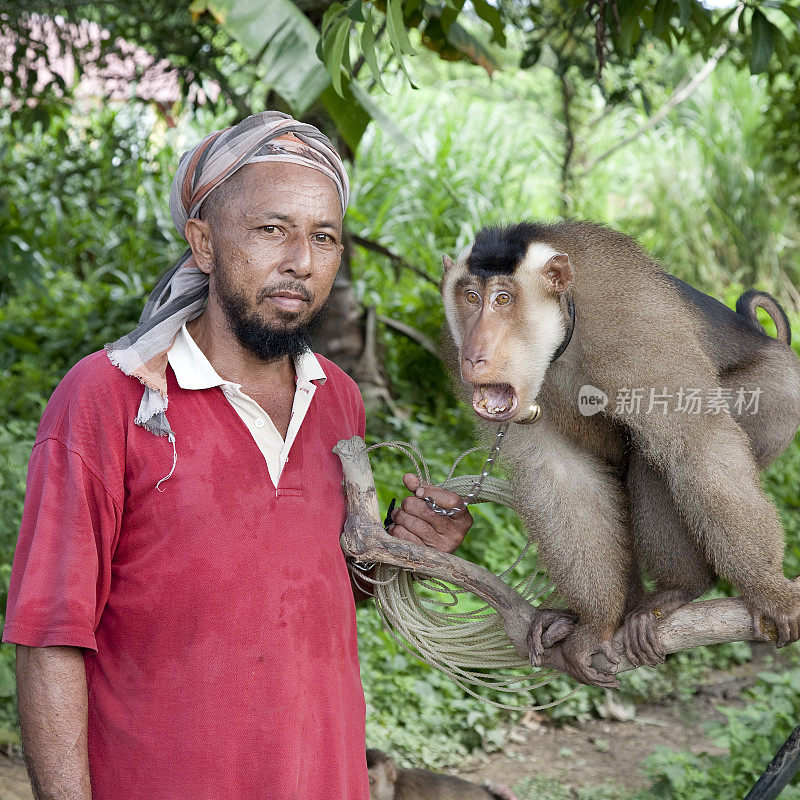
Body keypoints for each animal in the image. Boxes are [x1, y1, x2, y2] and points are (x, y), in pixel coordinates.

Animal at [440, 219, 800, 688]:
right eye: (470, 298)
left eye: (503, 299)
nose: (474, 355)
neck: (560, 341)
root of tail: (767, 339)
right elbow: (560, 474)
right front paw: (595, 624)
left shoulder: (631, 321)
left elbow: (698, 445)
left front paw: (766, 587)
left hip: (777, 393)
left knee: (658, 457)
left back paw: (681, 589)